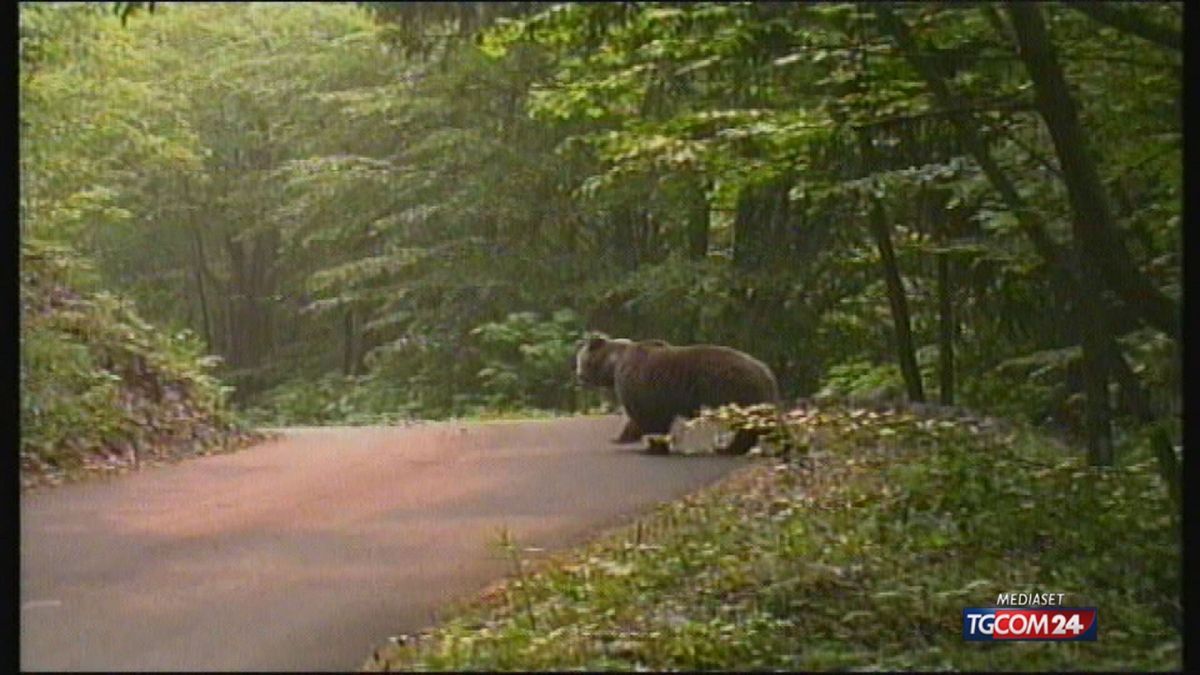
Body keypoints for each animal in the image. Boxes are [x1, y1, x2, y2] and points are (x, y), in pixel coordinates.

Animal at [578, 333, 787, 451]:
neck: (613, 366)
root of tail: (766, 372)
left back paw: (731, 447)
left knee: (747, 426)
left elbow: (647, 418)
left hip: (735, 391)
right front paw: (620, 438)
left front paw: (654, 445)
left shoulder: (639, 385)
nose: (579, 376)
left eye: (580, 360)